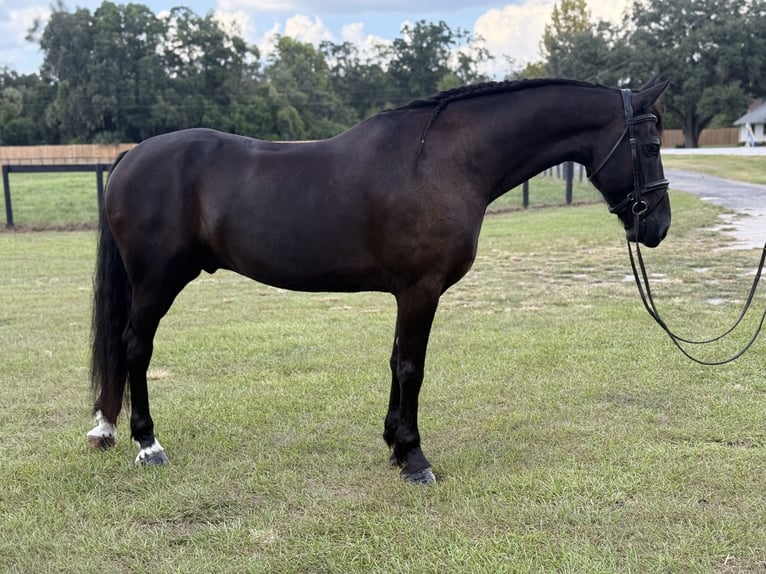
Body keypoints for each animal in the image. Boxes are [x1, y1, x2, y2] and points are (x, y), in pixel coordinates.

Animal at [88, 78, 671, 484]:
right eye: (649, 146)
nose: (657, 225)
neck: (442, 160)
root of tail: (130, 156)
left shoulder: (408, 293)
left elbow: (395, 362)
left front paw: (394, 444)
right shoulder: (421, 289)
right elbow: (412, 367)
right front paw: (414, 457)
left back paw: (109, 429)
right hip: (156, 282)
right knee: (135, 347)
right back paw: (147, 444)